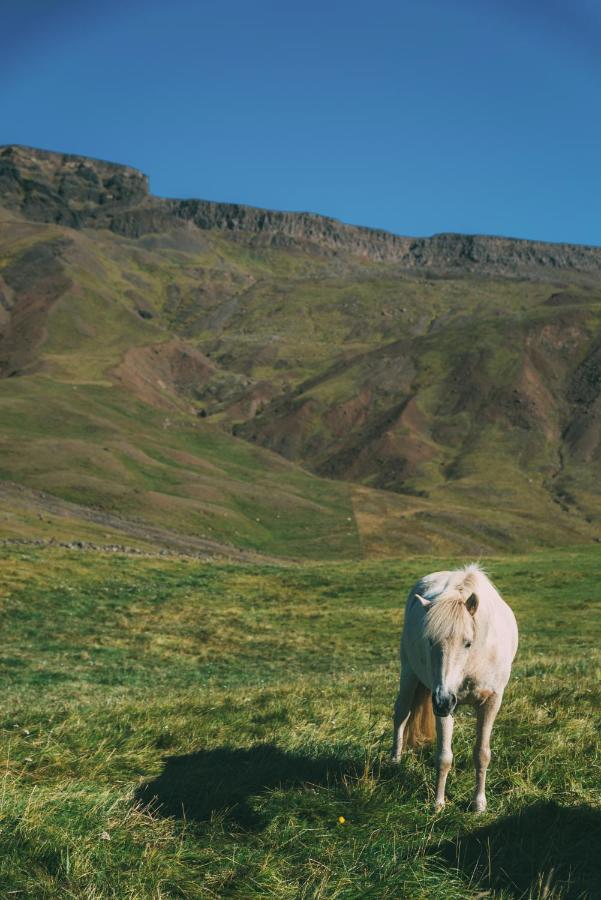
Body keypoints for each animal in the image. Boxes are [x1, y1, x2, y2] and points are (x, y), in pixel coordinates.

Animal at [392, 564, 516, 808]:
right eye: (430, 641)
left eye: (468, 643)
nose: (443, 700)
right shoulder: (445, 706)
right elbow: (444, 757)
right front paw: (438, 803)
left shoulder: (491, 702)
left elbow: (482, 753)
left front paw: (479, 804)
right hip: (409, 674)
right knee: (401, 713)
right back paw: (394, 762)